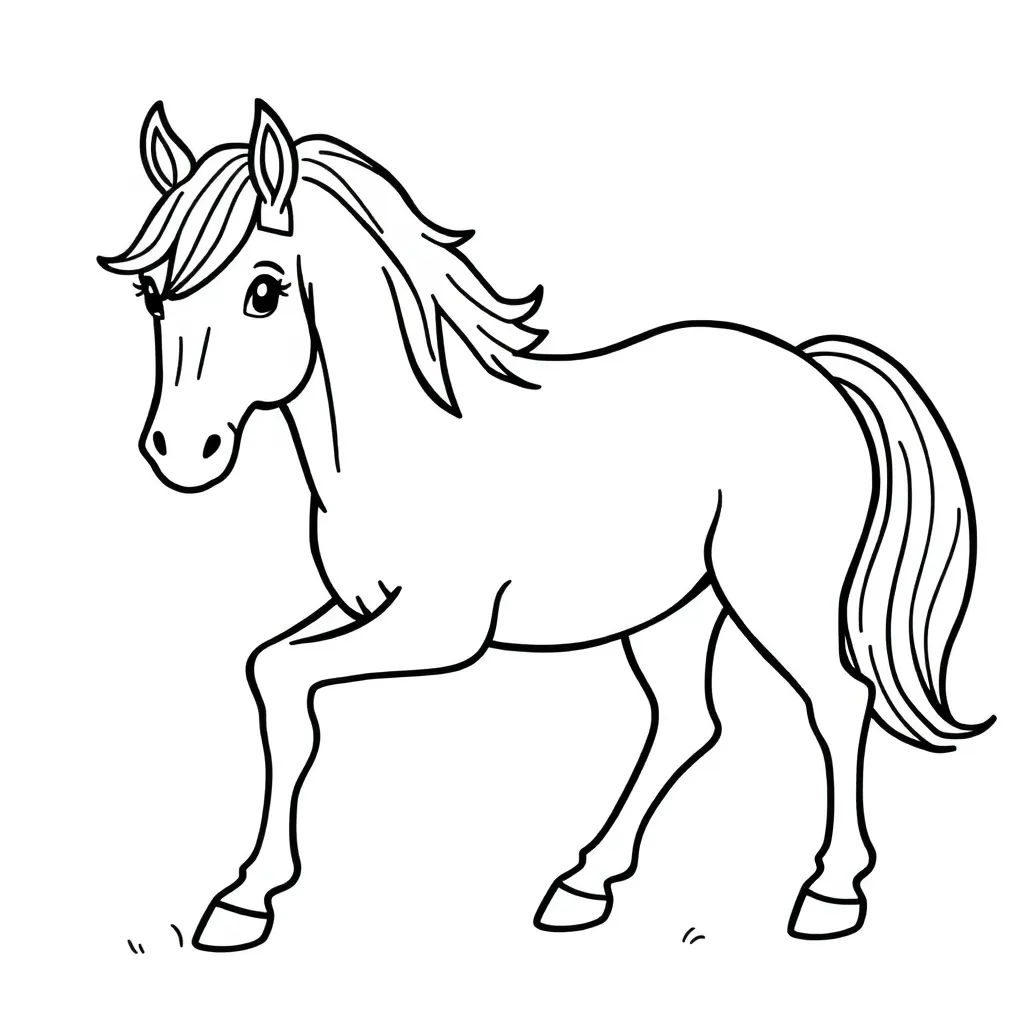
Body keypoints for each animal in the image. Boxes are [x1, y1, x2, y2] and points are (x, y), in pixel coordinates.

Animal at [98, 100, 993, 951]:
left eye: (264, 292)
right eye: (150, 294)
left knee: (838, 702)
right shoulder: (362, 606)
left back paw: (829, 896)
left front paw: (245, 900)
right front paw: (243, 898)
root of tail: (813, 369)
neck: (408, 441)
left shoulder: (442, 628)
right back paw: (582, 885)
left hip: (774, 598)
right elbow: (269, 675)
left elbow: (286, 678)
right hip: (674, 609)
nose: (181, 451)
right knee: (687, 722)